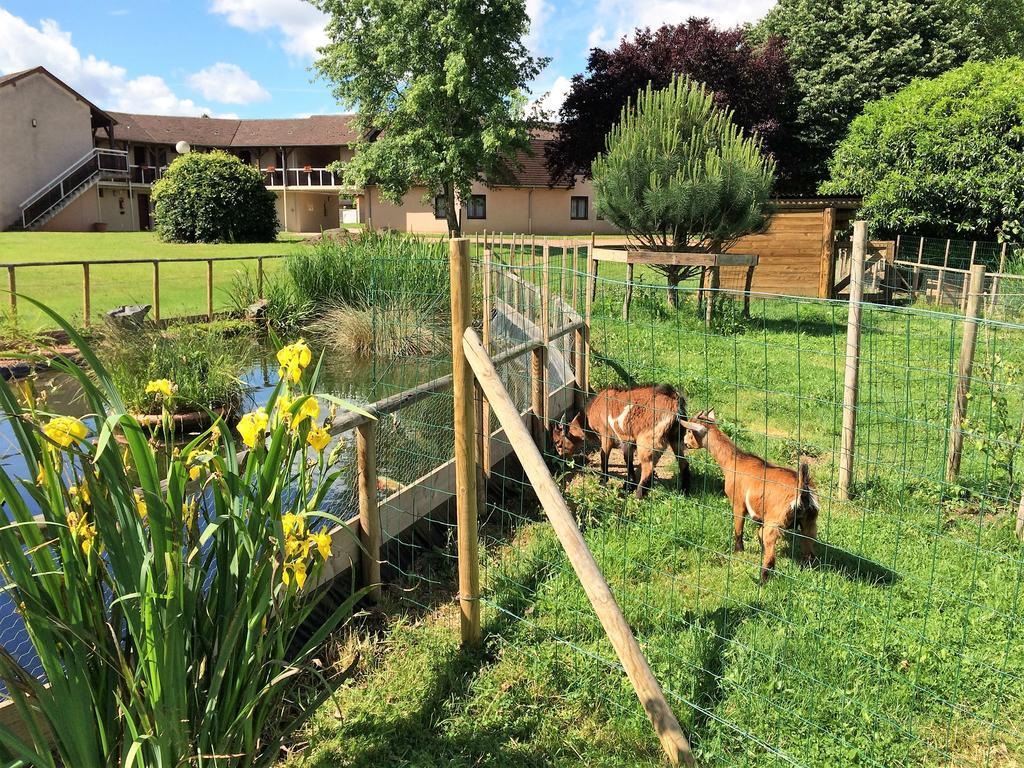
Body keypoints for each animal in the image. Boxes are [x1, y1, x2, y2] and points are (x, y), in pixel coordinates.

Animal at [552, 385, 688, 499]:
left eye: (558, 443)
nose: (560, 459)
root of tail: (675, 404)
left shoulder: (606, 436)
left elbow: (604, 456)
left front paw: (603, 482)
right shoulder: (627, 441)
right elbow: (628, 460)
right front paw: (628, 485)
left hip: (647, 441)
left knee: (648, 468)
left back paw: (638, 496)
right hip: (677, 437)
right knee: (684, 463)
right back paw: (684, 491)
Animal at [684, 409, 819, 581]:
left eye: (689, 430)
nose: (685, 443)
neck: (734, 461)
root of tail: (804, 489)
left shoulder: (738, 503)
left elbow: (738, 529)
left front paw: (738, 551)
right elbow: (757, 534)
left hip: (775, 521)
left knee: (771, 554)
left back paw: (761, 579)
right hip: (810, 521)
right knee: (809, 550)